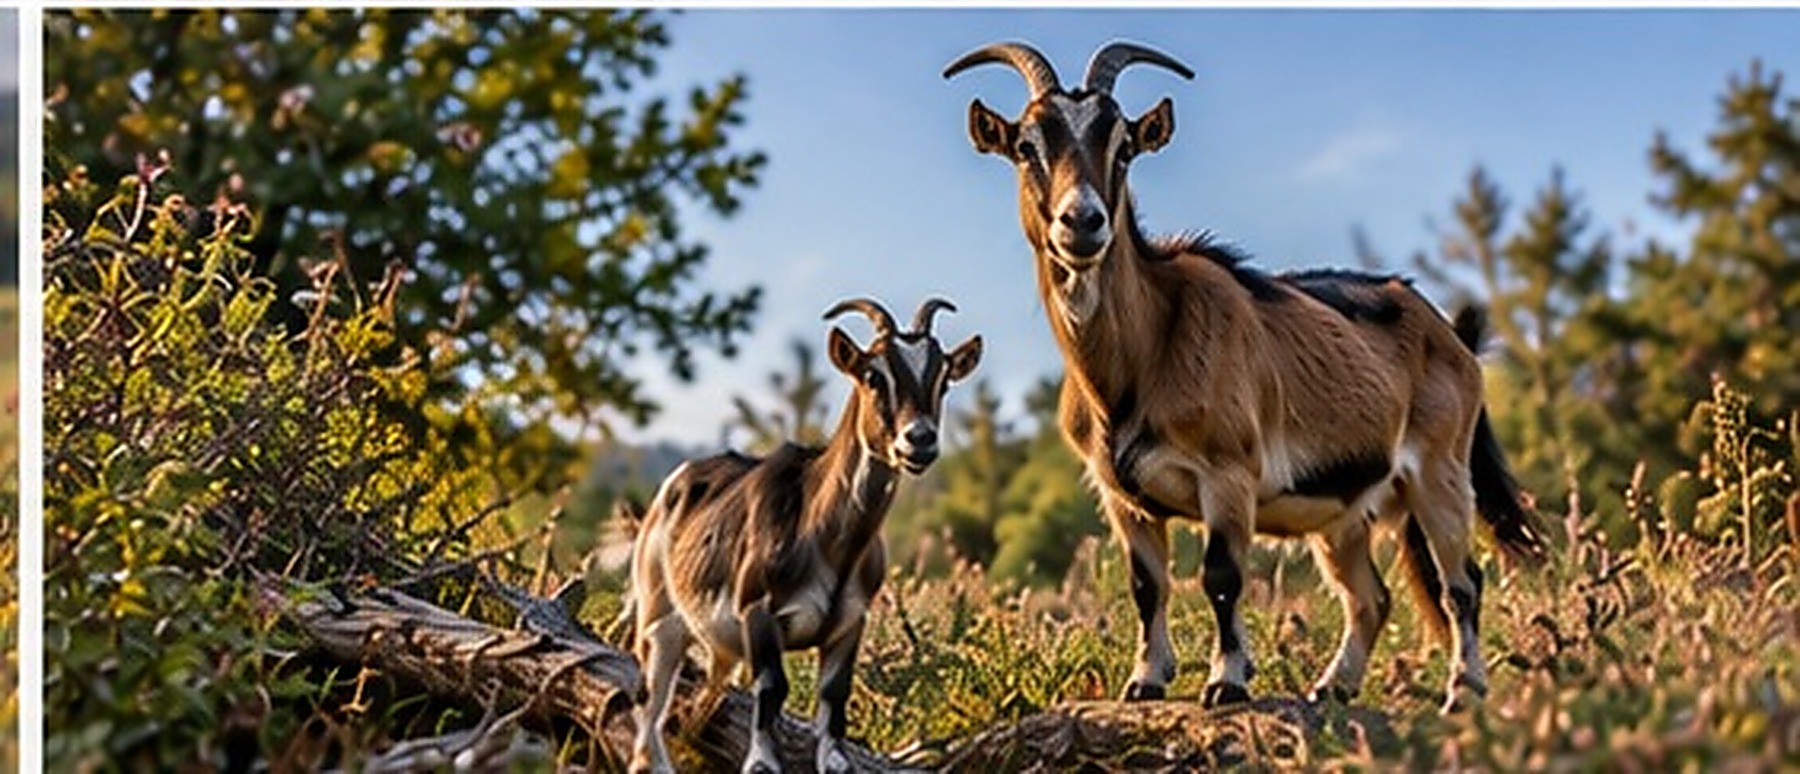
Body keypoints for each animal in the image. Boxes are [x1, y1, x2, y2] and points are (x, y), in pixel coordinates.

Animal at [626, 298, 982, 773]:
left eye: (943, 380)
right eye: (873, 375)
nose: (920, 440)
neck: (827, 541)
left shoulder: (851, 622)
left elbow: (834, 693)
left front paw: (835, 757)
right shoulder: (757, 610)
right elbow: (772, 686)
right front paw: (761, 759)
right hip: (658, 613)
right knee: (650, 700)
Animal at [945, 40, 1545, 713]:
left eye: (1123, 146)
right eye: (1026, 146)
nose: (1083, 222)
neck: (1138, 361)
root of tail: (1451, 332)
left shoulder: (1227, 475)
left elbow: (1221, 577)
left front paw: (1226, 681)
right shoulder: (1122, 497)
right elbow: (1146, 586)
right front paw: (1145, 680)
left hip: (1441, 470)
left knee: (1462, 582)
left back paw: (1463, 690)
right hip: (1345, 513)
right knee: (1371, 596)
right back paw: (1332, 688)